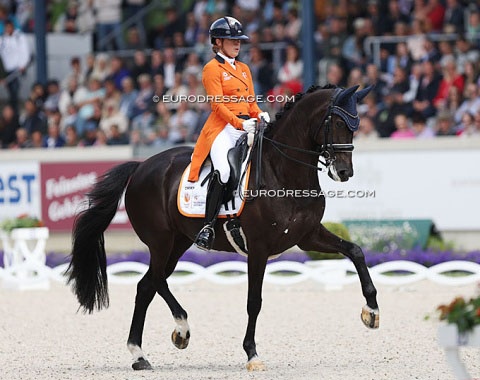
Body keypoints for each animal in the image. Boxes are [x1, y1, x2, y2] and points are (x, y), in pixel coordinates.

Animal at [66, 84, 378, 372]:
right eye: (337, 123)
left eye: (355, 126)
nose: (344, 172)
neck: (283, 171)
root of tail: (141, 166)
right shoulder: (259, 248)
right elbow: (254, 301)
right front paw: (252, 354)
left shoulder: (308, 236)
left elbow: (355, 251)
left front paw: (371, 311)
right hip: (160, 241)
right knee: (156, 280)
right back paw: (181, 330)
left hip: (178, 242)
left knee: (147, 286)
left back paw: (140, 355)